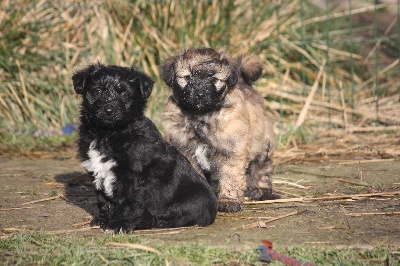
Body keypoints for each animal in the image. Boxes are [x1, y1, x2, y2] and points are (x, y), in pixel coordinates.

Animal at [70, 62, 217, 233]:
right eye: (97, 91)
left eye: (124, 94)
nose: (109, 110)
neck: (108, 133)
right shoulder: (96, 171)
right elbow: (102, 200)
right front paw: (102, 220)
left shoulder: (132, 176)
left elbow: (126, 202)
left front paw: (119, 225)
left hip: (194, 200)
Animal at [160, 48, 278, 213]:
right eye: (187, 77)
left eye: (214, 79)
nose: (200, 94)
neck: (201, 116)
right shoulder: (187, 152)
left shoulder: (232, 152)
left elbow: (230, 177)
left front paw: (228, 200)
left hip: (262, 145)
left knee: (261, 168)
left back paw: (260, 190)